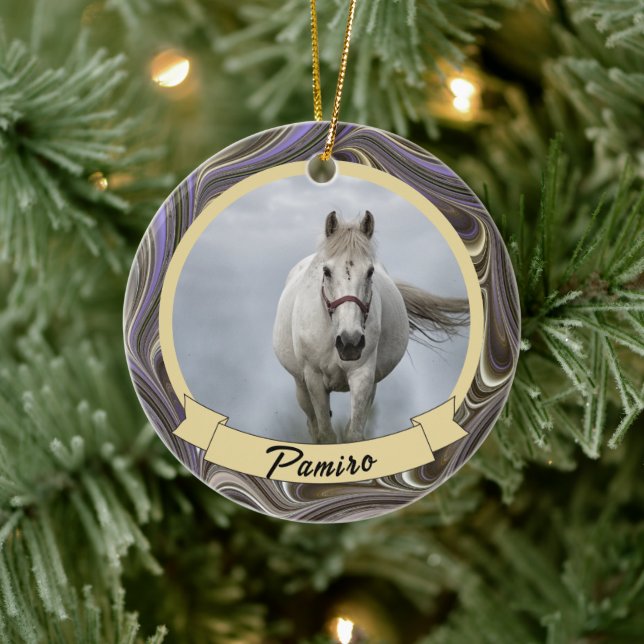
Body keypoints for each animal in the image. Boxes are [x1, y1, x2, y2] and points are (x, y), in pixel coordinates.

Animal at [272, 211, 469, 443]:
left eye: (370, 271)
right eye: (327, 271)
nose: (350, 343)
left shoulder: (363, 376)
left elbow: (353, 434)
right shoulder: (314, 379)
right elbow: (326, 435)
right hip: (301, 387)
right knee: (313, 426)